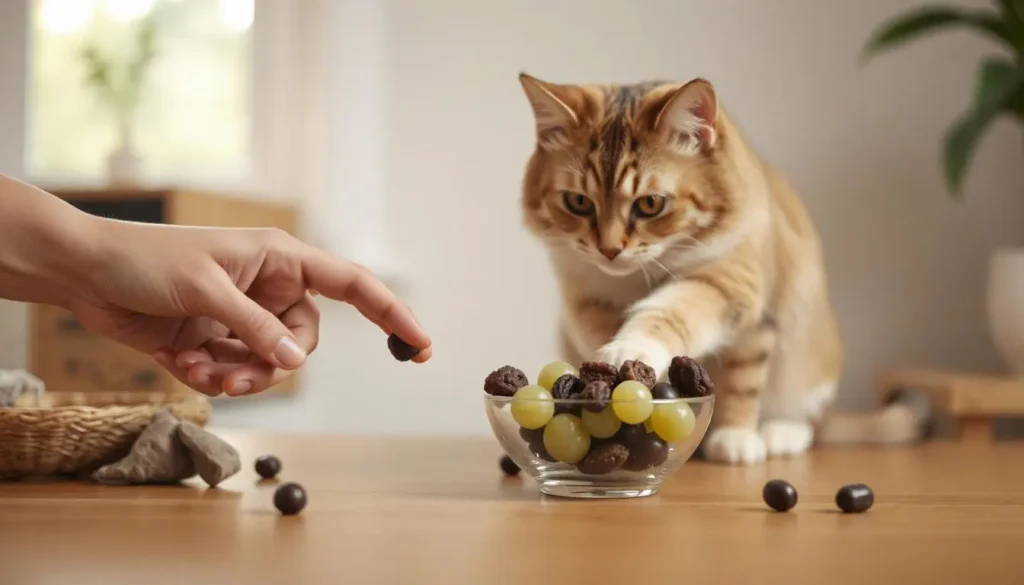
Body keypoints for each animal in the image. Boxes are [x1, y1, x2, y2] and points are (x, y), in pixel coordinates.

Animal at [516, 74, 925, 467]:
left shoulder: (732, 287)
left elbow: (707, 347)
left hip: (809, 361)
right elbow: (602, 331)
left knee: (810, 420)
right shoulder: (585, 302)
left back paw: (779, 433)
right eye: (577, 202)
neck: (640, 273)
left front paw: (734, 436)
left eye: (650, 204)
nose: (610, 250)